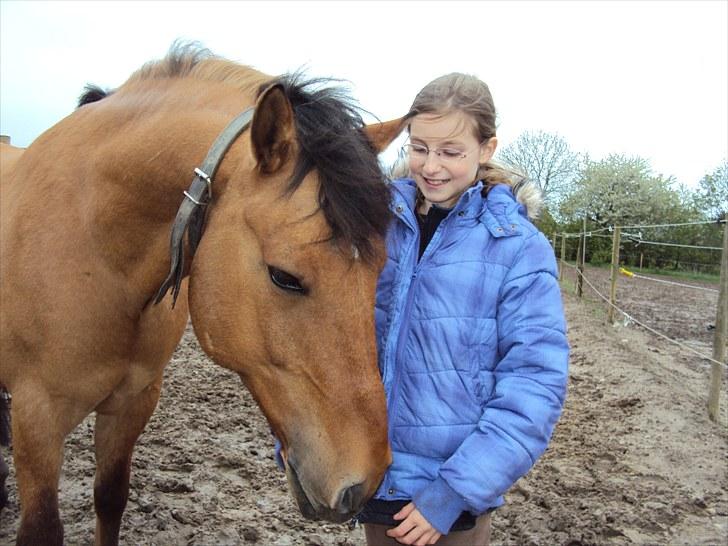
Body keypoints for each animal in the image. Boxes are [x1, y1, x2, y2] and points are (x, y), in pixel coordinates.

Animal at [0, 43, 404, 544]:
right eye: (284, 276)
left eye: (379, 270)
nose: (364, 482)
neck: (93, 246)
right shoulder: (38, 416)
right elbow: (41, 527)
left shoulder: (132, 402)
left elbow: (110, 497)